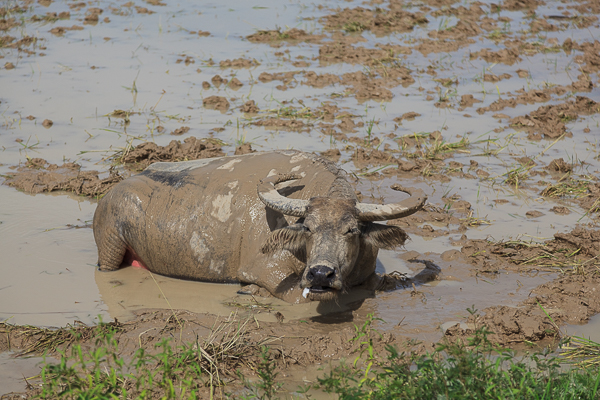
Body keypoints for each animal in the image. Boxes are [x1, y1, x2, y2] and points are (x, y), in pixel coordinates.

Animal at [92, 150, 426, 304]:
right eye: (308, 228)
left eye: (352, 230)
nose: (320, 274)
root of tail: (111, 194)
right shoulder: (266, 270)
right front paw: (252, 290)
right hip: (110, 248)